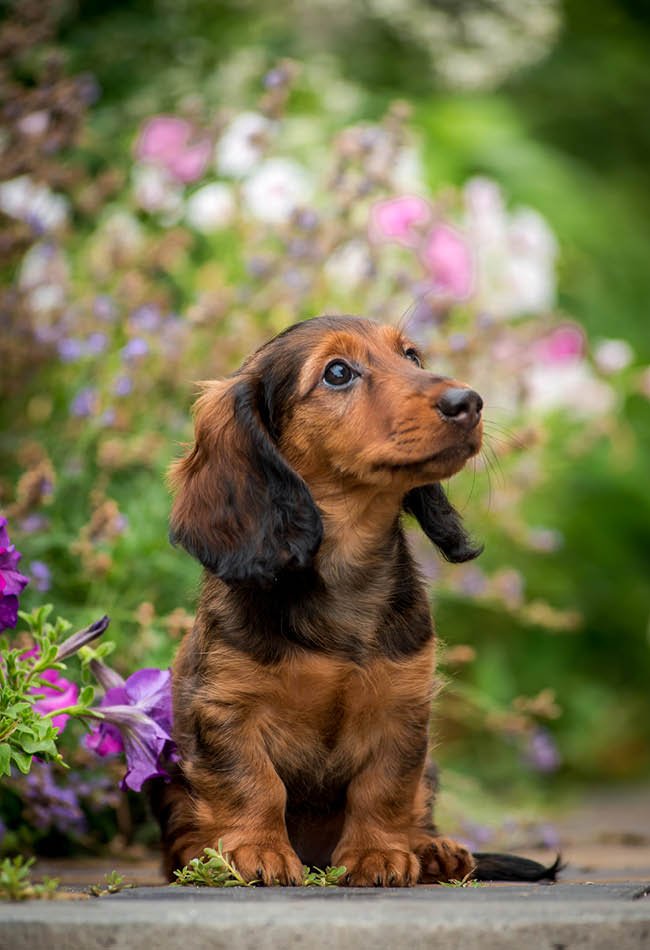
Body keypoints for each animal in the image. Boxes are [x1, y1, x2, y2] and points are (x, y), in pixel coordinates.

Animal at [158, 316, 556, 888]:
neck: (345, 563)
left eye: (412, 356)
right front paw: (256, 850)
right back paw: (199, 855)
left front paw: (377, 853)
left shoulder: (402, 706)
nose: (469, 401)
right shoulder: (226, 706)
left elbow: (384, 787)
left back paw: (433, 850)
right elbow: (253, 782)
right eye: (337, 373)